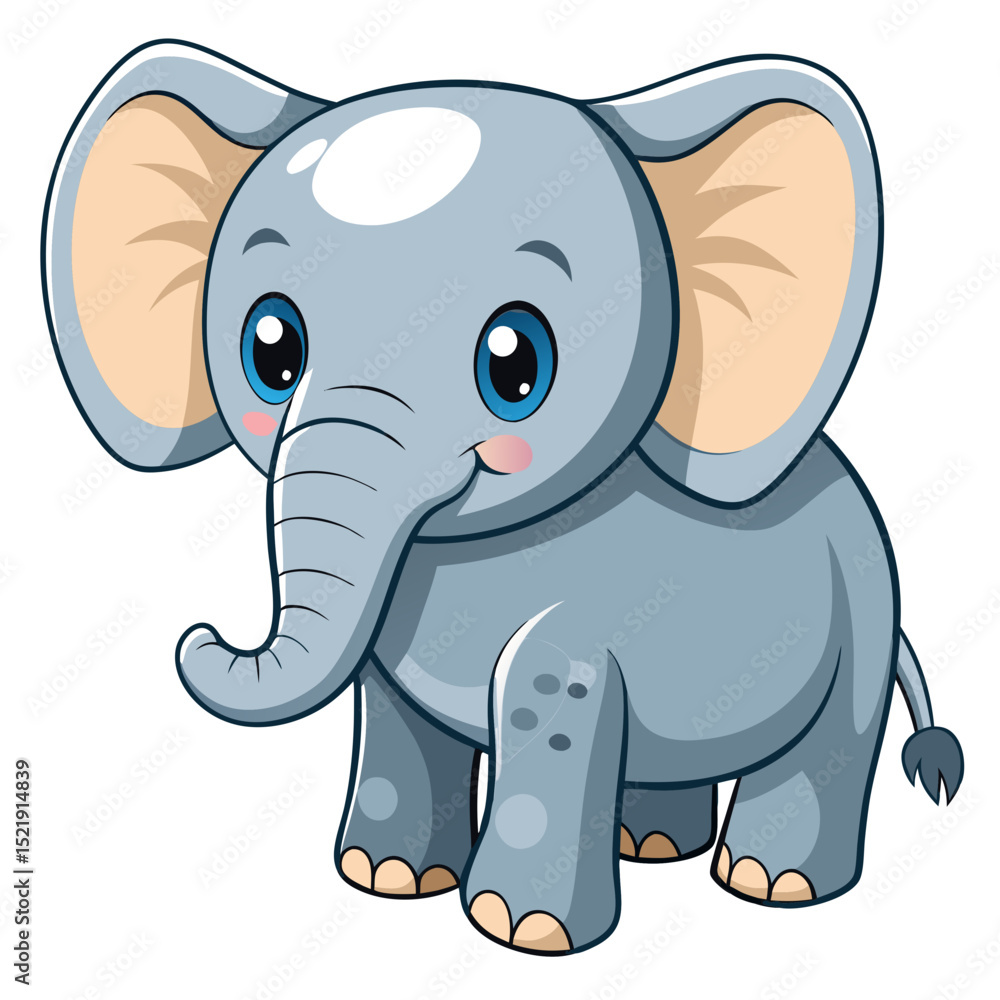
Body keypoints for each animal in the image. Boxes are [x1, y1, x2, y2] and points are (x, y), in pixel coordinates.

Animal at [44, 41, 965, 955]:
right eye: (270, 349)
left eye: (515, 363)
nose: (199, 637)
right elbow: (394, 714)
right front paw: (385, 878)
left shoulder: (582, 628)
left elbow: (547, 703)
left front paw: (522, 932)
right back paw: (652, 844)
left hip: (864, 614)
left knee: (829, 744)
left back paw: (772, 885)